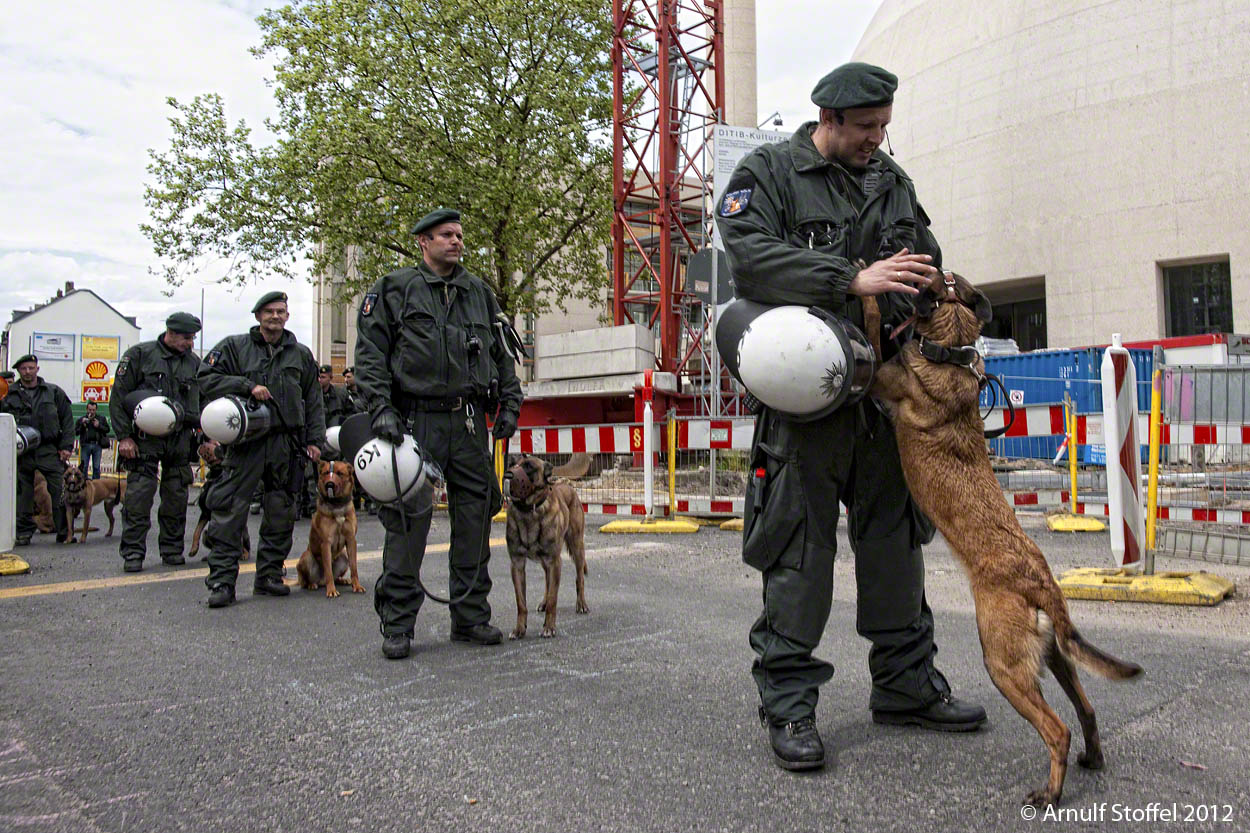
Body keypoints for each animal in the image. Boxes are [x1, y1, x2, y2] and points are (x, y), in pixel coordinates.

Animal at [296, 460, 362, 597]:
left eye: (340, 473)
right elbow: (329, 572)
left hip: (343, 557)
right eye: (326, 473)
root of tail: (321, 581)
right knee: (306, 581)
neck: (337, 506)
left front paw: (357, 586)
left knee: (337, 575)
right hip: (306, 557)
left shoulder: (351, 540)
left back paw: (342, 580)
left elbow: (354, 568)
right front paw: (331, 590)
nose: (329, 484)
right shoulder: (326, 543)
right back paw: (311, 584)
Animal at [505, 455, 587, 635]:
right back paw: (543, 602)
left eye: (528, 466)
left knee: (579, 578)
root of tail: (568, 486)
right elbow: (521, 602)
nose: (508, 474)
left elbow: (553, 599)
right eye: (511, 463)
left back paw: (581, 604)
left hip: (576, 547)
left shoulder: (554, 562)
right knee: (548, 583)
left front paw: (549, 627)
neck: (528, 511)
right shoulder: (517, 564)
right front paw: (519, 628)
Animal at [870, 272, 1145, 805]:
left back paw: (1050, 793)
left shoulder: (878, 377)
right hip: (1054, 659)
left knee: (1057, 729)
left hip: (1003, 664)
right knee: (1086, 710)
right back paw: (1092, 759)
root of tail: (1041, 583)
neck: (949, 348)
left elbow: (871, 329)